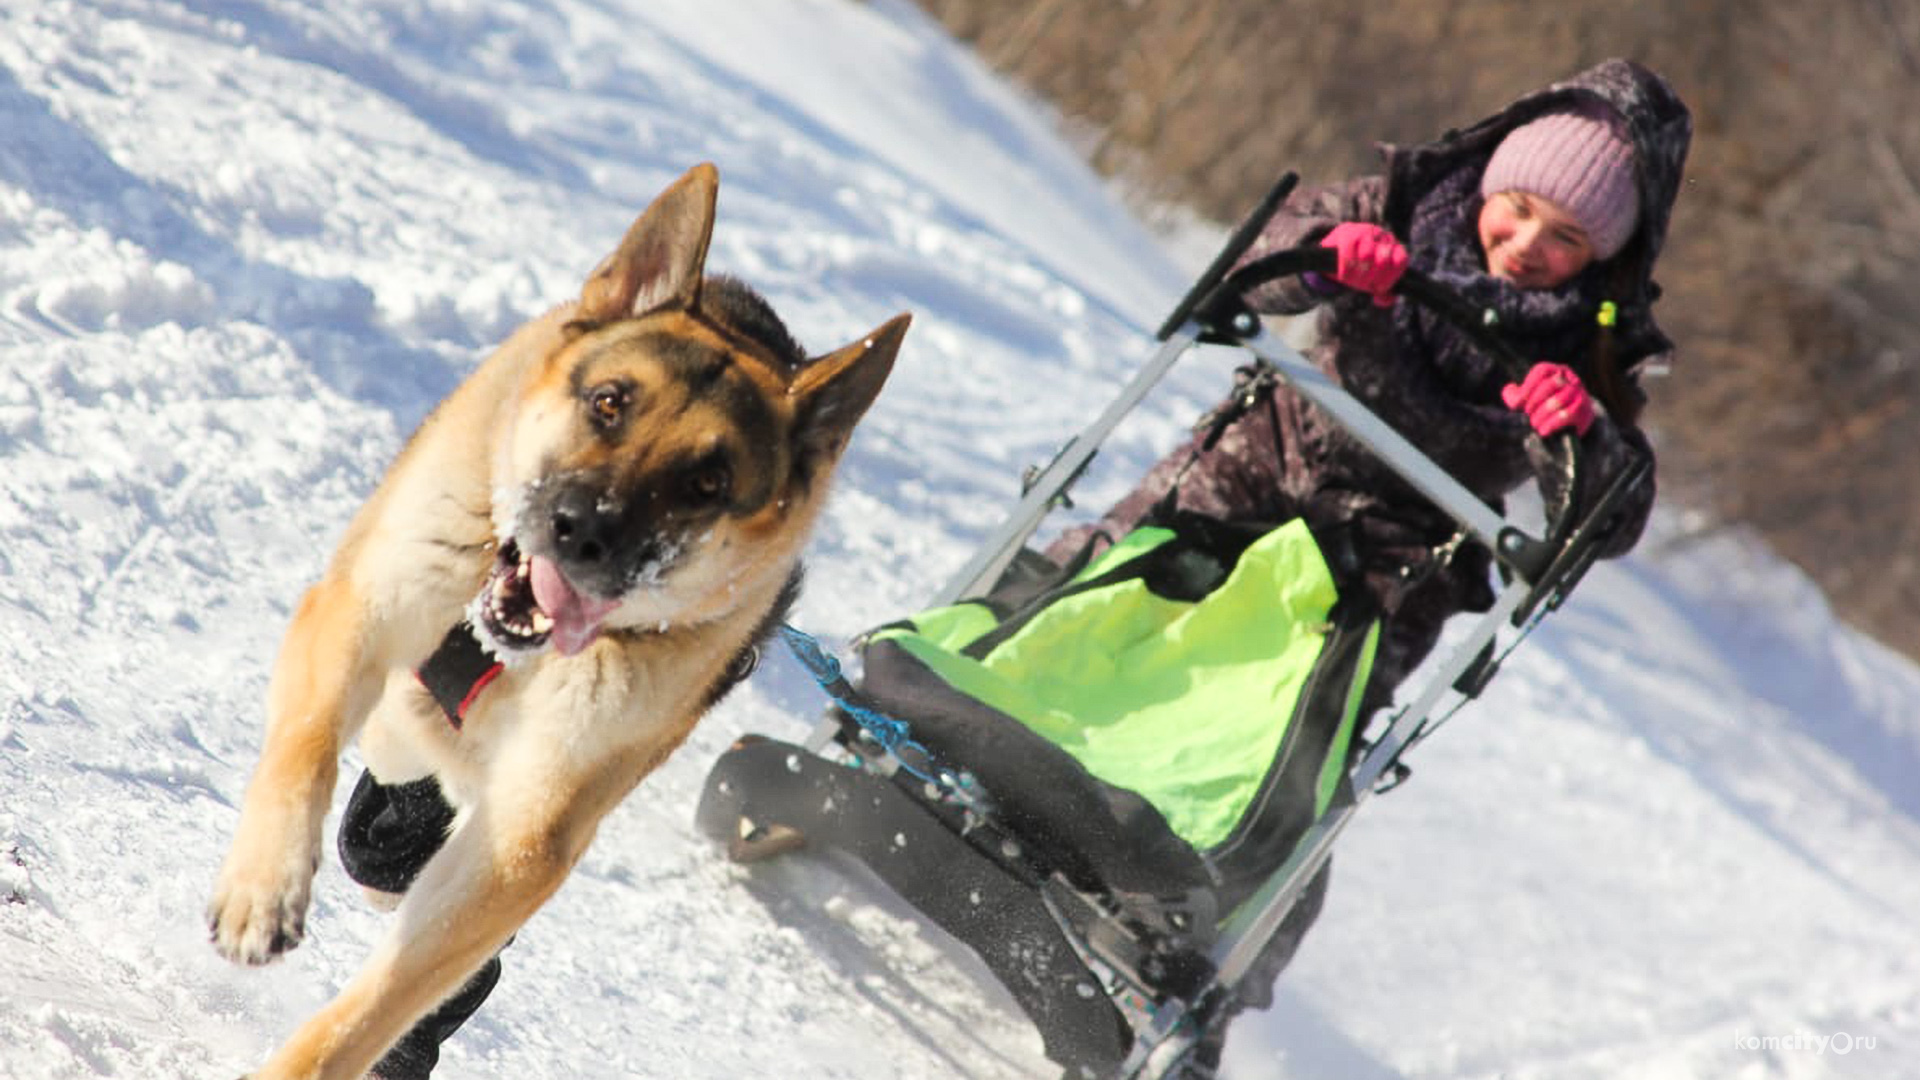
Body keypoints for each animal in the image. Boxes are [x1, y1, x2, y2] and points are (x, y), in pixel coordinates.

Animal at [206, 161, 910, 1076]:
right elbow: (306, 748)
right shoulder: (362, 612)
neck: (502, 651)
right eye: (609, 403)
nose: (584, 532)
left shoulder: (531, 827)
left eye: (708, 482)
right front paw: (265, 888)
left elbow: (387, 999)